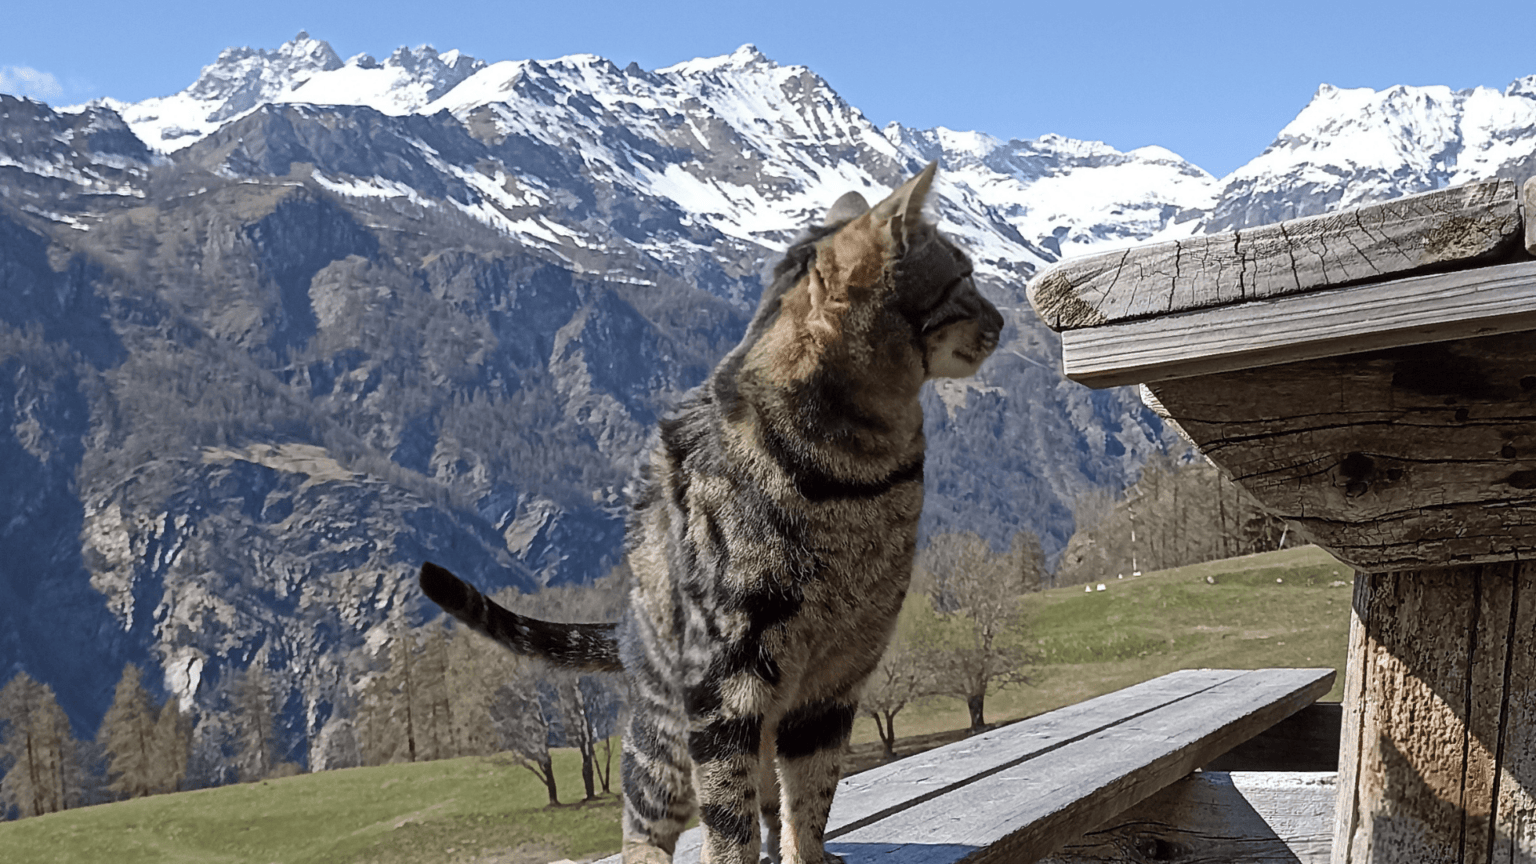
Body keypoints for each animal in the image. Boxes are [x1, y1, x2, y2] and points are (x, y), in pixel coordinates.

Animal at [417, 162, 1007, 860]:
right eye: (965, 277)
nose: (1003, 318)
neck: (861, 474)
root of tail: (627, 626)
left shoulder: (836, 681)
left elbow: (811, 799)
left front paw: (810, 853)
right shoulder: (725, 683)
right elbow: (726, 823)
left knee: (768, 796)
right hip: (666, 735)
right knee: (644, 821)